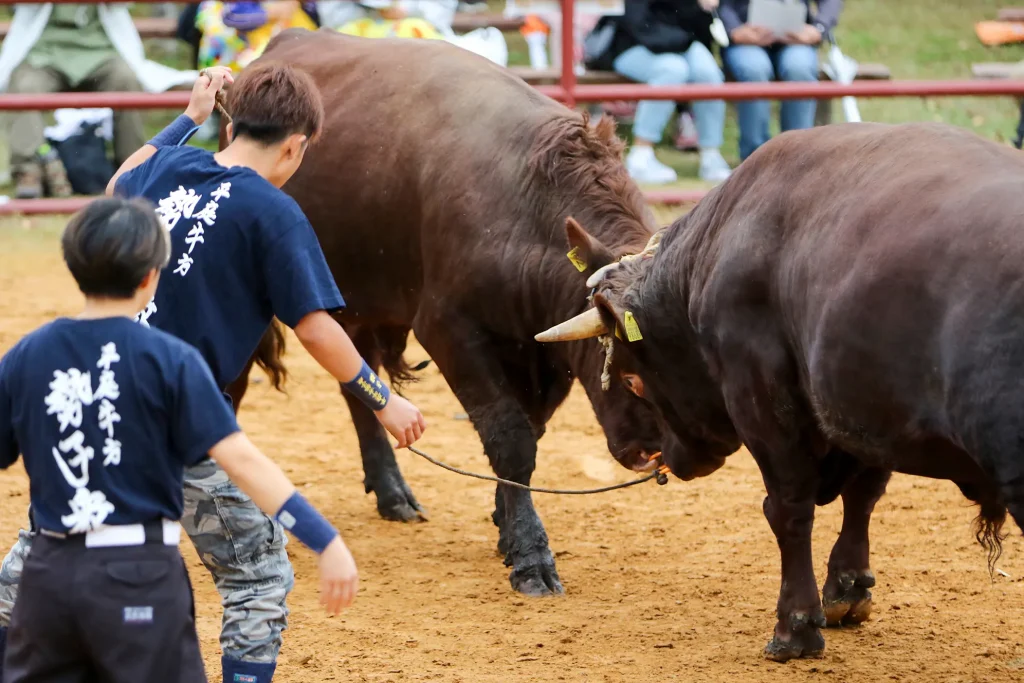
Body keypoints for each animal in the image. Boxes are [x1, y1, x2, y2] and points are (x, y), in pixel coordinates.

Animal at [226, 26, 663, 593]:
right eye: (630, 375)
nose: (651, 452)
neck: (525, 199)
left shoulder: (544, 350)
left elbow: (528, 431)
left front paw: (506, 524)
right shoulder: (449, 329)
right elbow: (511, 438)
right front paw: (531, 554)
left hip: (358, 303)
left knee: (358, 385)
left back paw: (392, 492)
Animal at [540, 124, 1019, 663]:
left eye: (631, 379)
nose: (663, 458)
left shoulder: (761, 395)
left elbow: (788, 506)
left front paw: (796, 625)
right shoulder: (864, 407)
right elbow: (863, 494)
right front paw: (848, 588)